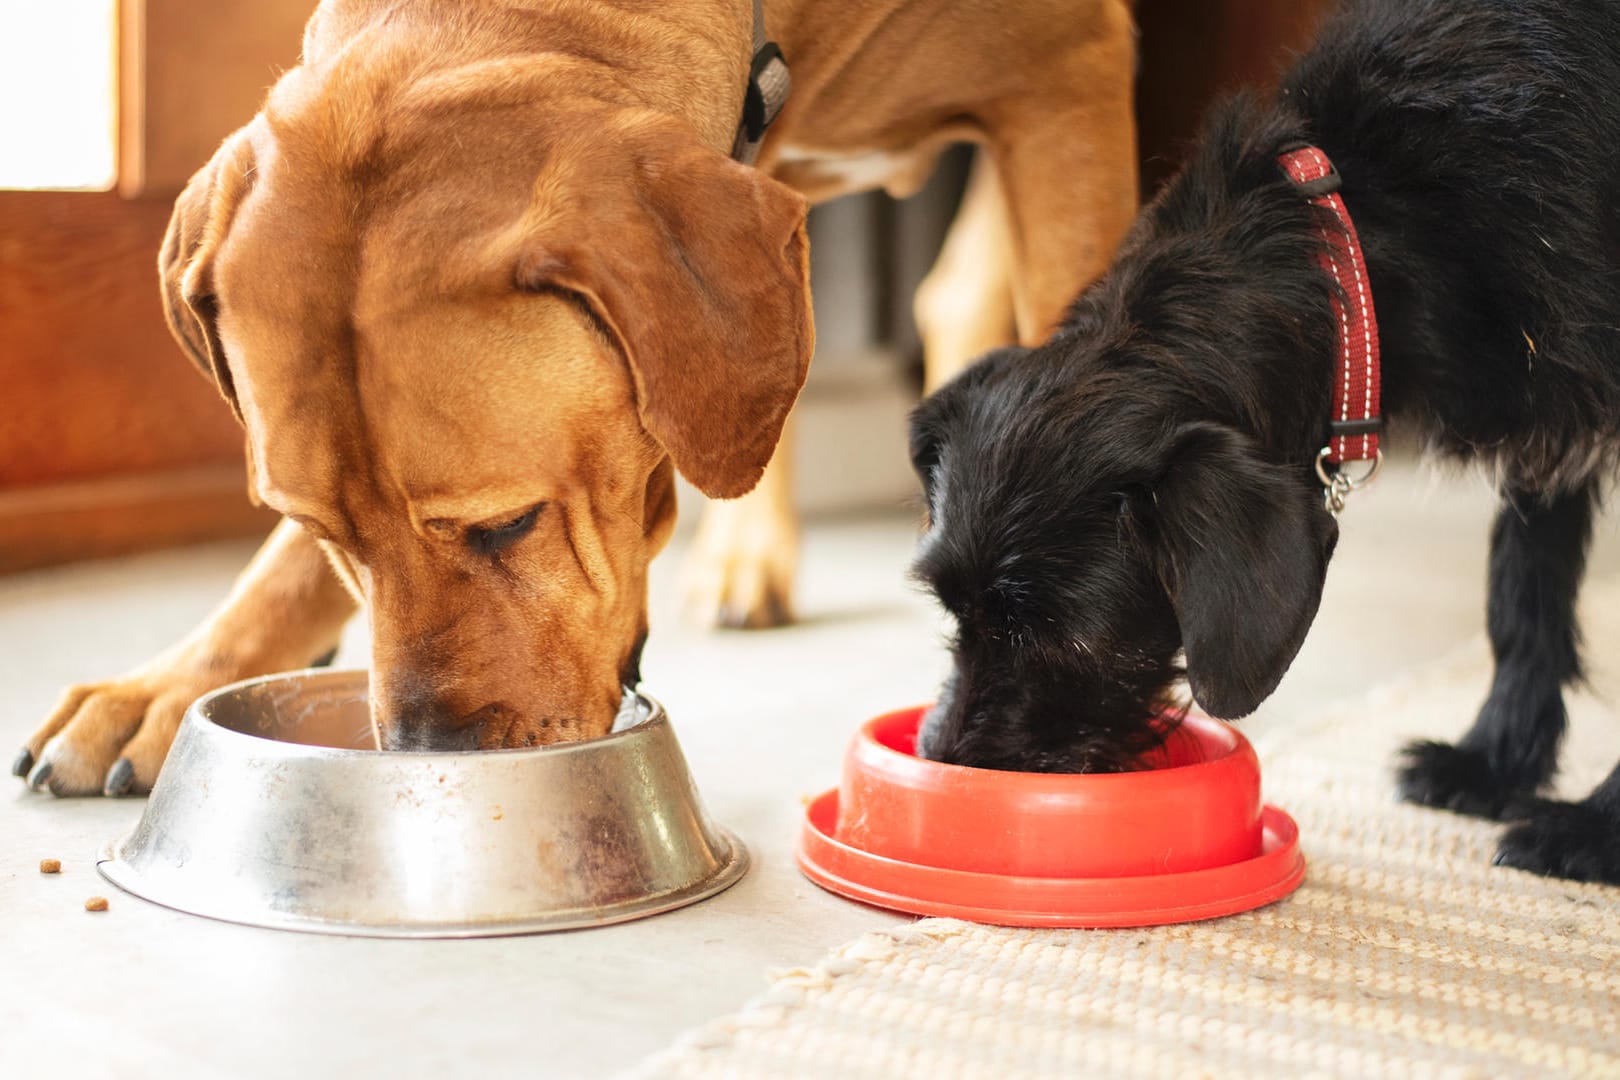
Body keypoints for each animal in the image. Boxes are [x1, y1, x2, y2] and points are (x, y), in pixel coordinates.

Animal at [913, 0, 1620, 880]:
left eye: (1066, 640)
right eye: (952, 609)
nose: (945, 765)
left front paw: (1592, 829)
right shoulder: (1545, 421)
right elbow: (1523, 589)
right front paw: (1492, 762)